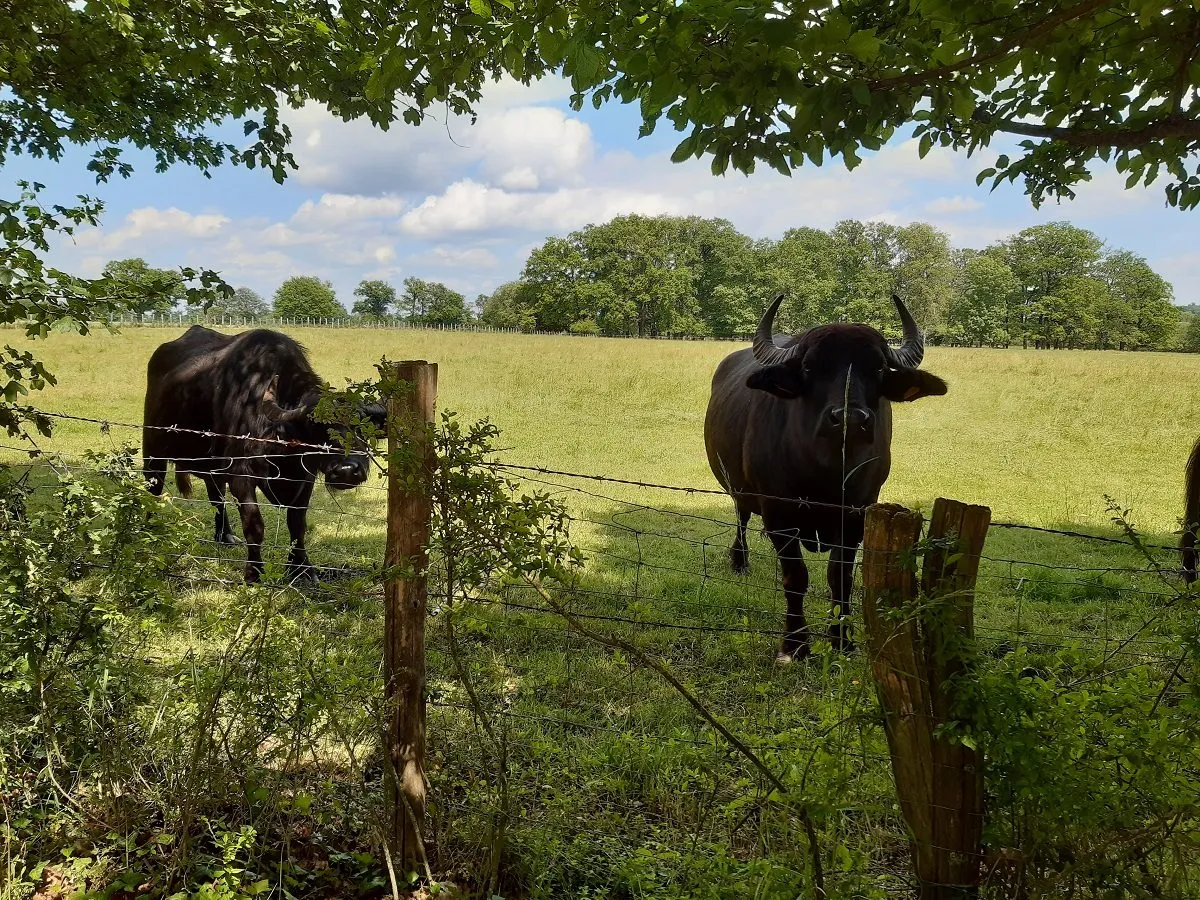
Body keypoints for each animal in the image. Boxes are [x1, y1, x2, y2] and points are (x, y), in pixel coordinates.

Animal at [141, 324, 386, 585]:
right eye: (315, 427)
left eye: (363, 426)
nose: (347, 470)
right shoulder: (241, 475)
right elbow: (254, 525)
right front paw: (254, 572)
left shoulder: (305, 478)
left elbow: (297, 524)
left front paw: (302, 568)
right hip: (153, 451)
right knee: (153, 487)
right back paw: (149, 529)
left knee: (216, 496)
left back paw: (225, 535)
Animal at [700, 296, 945, 662]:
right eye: (809, 367)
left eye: (877, 368)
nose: (850, 419)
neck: (827, 470)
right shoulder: (779, 515)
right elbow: (795, 577)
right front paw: (794, 645)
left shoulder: (856, 515)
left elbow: (839, 578)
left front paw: (842, 640)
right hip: (738, 487)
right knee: (742, 516)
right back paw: (739, 561)